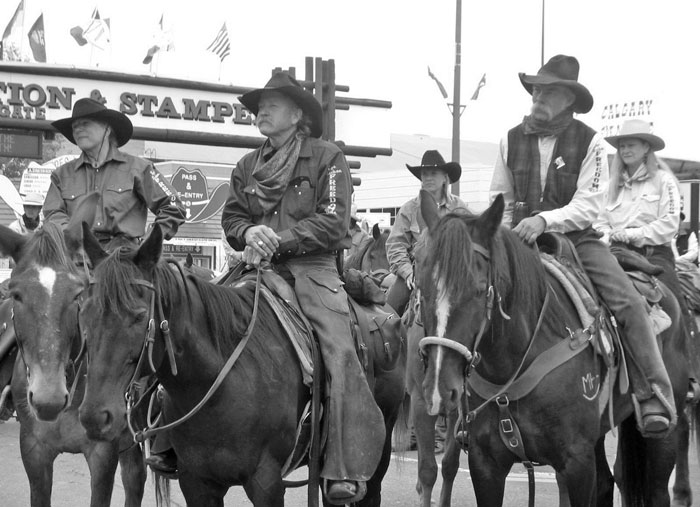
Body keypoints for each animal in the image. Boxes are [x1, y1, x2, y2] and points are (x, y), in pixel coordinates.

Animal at [74, 226, 404, 507]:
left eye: (140, 315)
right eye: (84, 311)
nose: (94, 416)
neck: (221, 384)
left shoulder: (266, 482)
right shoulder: (197, 482)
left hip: (377, 454)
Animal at [408, 192, 696, 506]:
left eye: (478, 289)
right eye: (421, 286)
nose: (438, 389)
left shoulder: (577, 462)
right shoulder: (485, 464)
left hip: (662, 434)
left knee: (656, 487)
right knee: (607, 482)